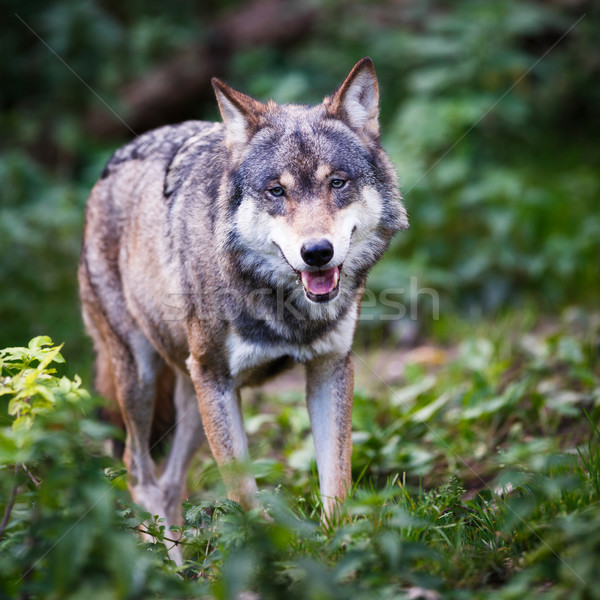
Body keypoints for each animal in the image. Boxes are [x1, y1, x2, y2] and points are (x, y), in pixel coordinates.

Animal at [78, 56, 408, 556]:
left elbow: (337, 486)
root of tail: (106, 171)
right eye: (276, 191)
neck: (283, 306)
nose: (317, 252)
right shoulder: (216, 380)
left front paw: (337, 554)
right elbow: (245, 496)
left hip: (193, 401)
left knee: (171, 487)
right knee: (139, 475)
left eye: (337, 182)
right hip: (146, 379)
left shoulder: (330, 369)